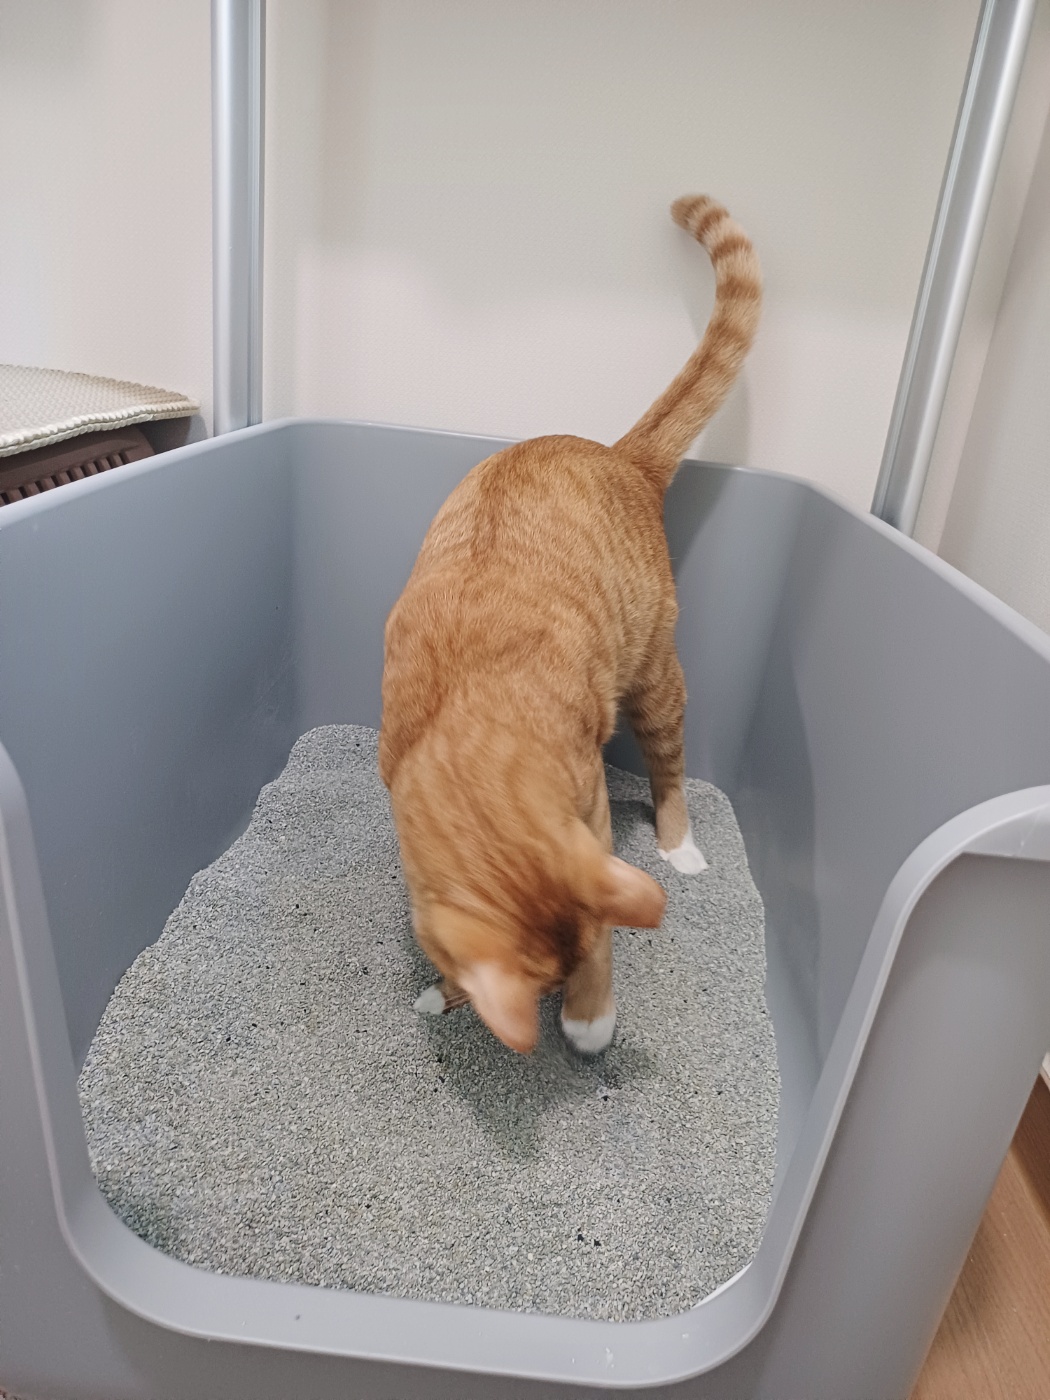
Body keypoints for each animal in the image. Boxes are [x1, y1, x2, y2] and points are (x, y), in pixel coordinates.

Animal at [378, 195, 761, 1055]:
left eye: (567, 979)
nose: (560, 1005)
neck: (469, 705)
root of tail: (619, 455)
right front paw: (442, 994)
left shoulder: (590, 819)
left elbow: (609, 919)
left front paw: (591, 1017)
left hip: (654, 678)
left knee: (670, 766)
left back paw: (680, 847)